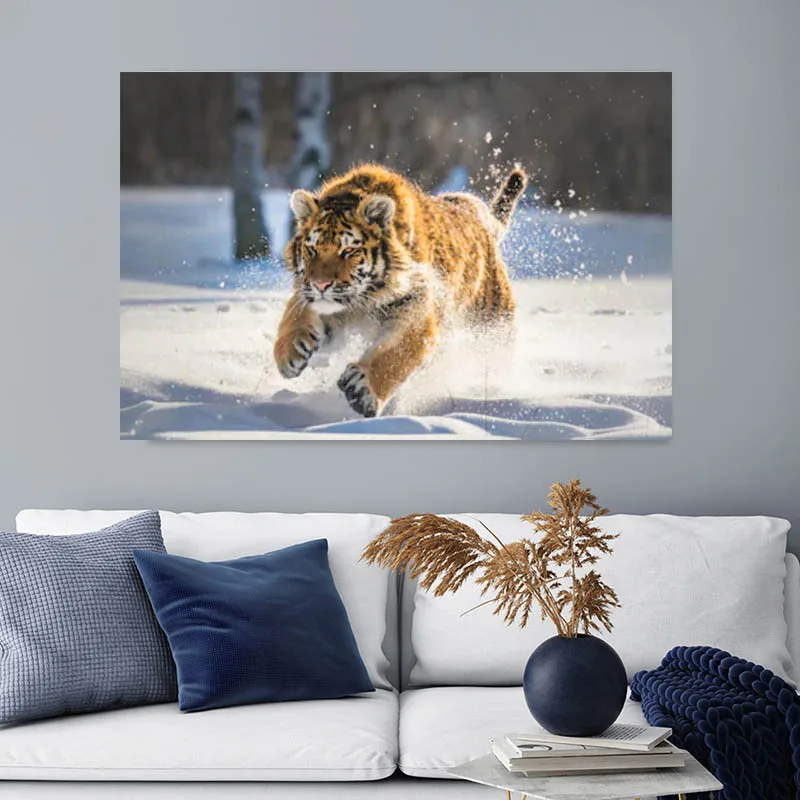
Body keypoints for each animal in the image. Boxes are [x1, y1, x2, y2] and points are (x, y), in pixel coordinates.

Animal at [274, 163, 527, 418]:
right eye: (312, 249)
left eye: (348, 251)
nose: (321, 284)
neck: (363, 299)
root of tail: (480, 215)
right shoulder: (311, 296)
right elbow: (293, 316)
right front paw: (289, 354)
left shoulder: (416, 308)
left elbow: (395, 354)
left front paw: (363, 390)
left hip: (492, 326)